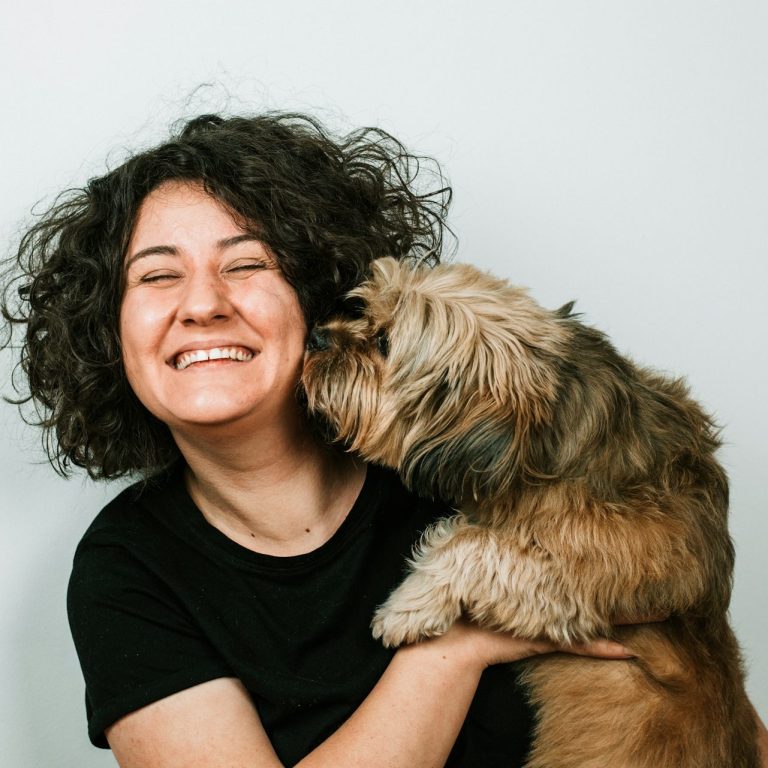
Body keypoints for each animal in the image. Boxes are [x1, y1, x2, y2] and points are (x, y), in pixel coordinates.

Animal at [300, 258, 756, 768]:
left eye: (384, 343)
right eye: (363, 311)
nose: (316, 336)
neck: (544, 441)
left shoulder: (605, 567)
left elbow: (475, 544)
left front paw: (408, 606)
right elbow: (465, 534)